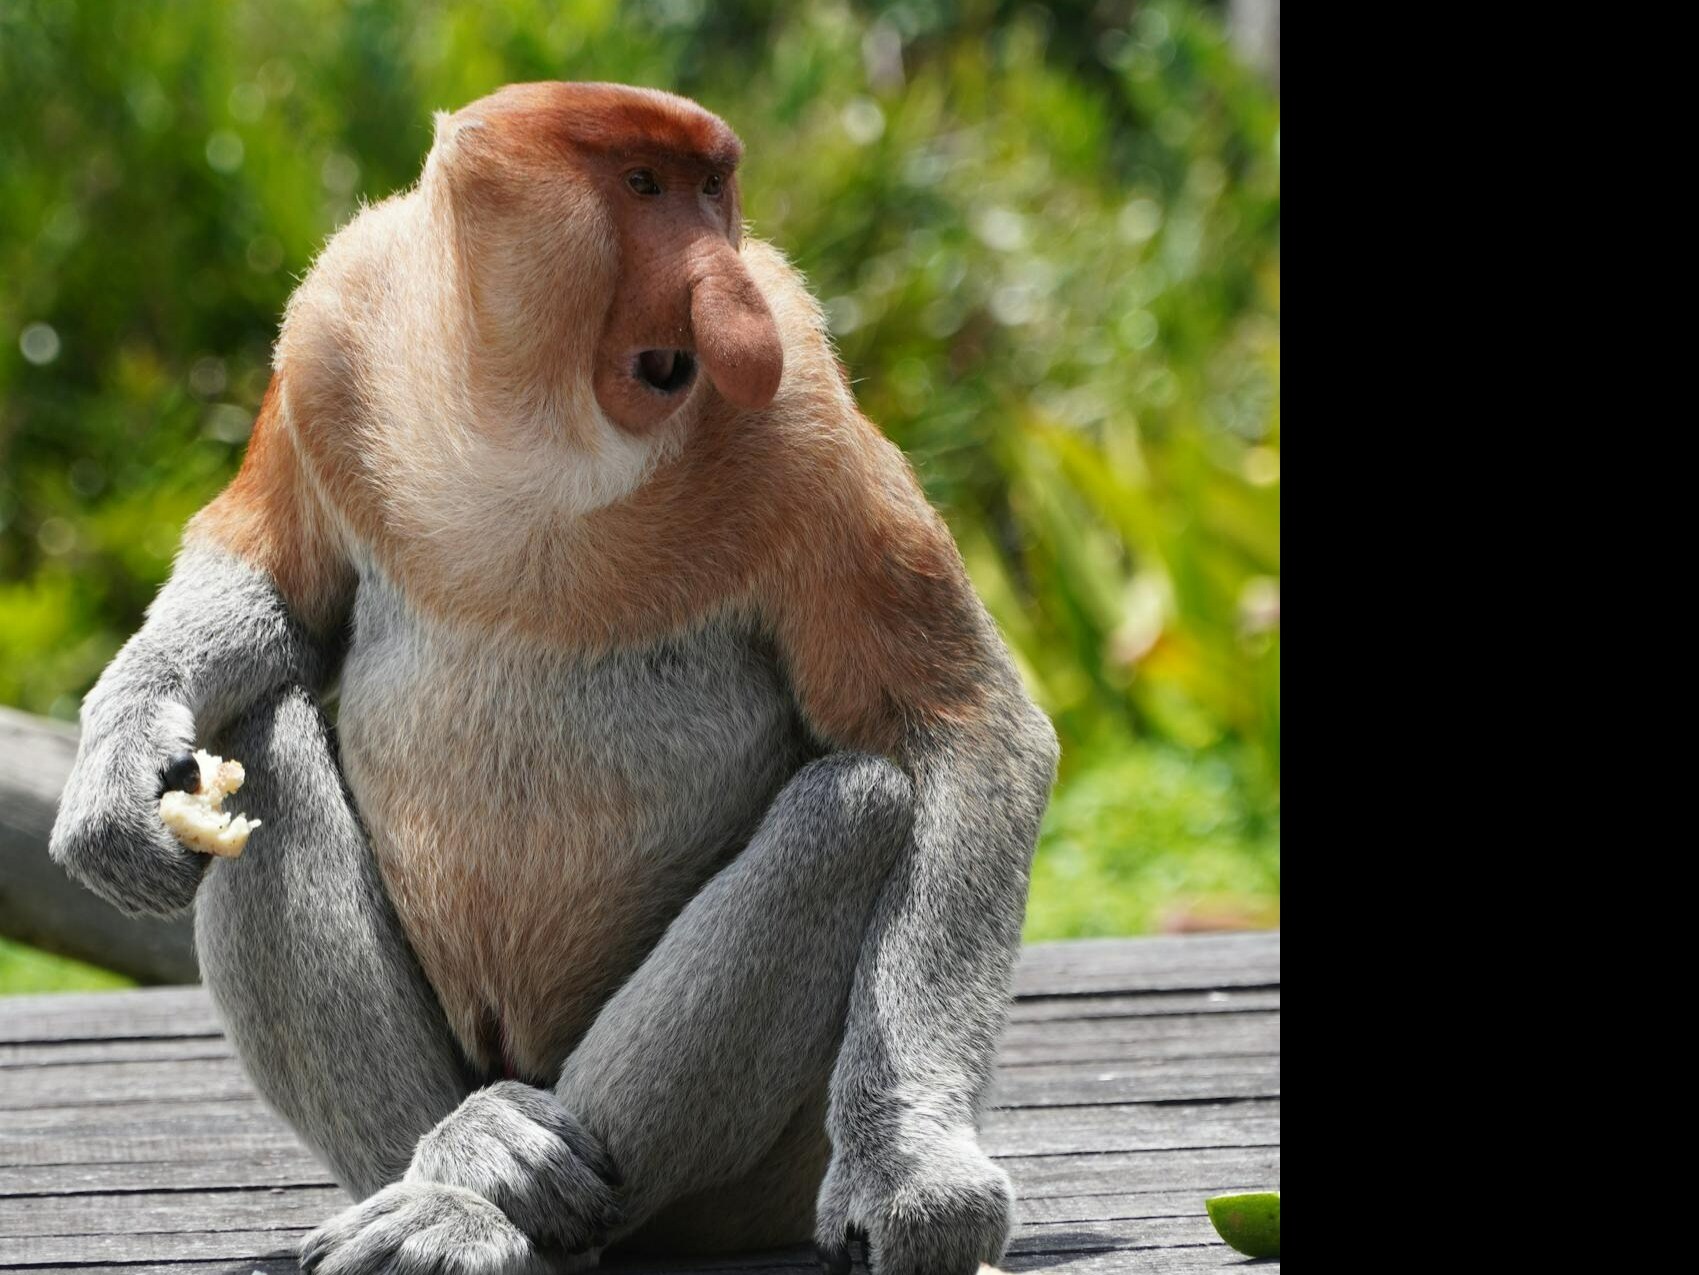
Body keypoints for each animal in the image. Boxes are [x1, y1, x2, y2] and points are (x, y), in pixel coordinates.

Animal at [49, 82, 1058, 1275]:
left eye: (712, 190)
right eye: (644, 186)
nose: (730, 304)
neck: (534, 419)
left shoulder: (806, 418)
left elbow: (964, 725)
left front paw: (914, 1176)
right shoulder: (332, 330)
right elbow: (272, 590)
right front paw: (111, 788)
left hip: (746, 1186)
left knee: (855, 807)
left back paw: (486, 1202)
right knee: (257, 735)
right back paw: (447, 1168)